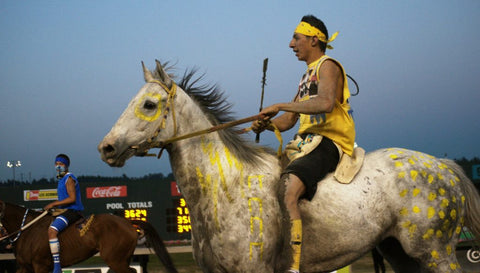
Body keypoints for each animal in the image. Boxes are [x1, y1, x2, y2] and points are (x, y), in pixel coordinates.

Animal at [0, 200, 178, 272]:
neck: (27, 230)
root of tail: (126, 222)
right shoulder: (24, 267)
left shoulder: (40, 267)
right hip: (122, 258)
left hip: (115, 259)